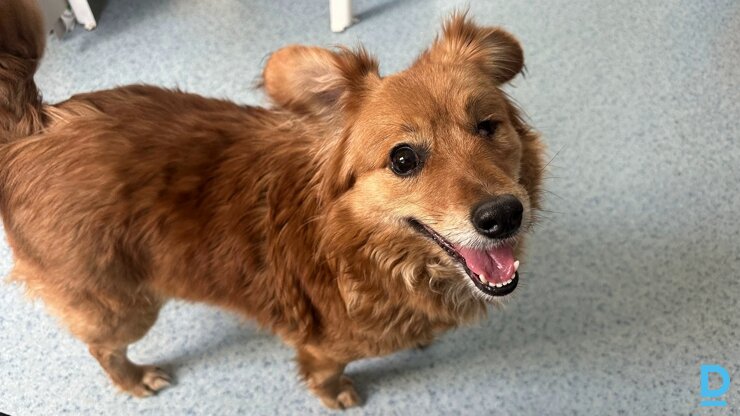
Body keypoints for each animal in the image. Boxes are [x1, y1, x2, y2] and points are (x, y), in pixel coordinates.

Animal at [0, 0, 545, 409]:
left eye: (488, 126)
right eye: (403, 159)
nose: (502, 215)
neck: (359, 250)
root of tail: (34, 125)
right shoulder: (322, 346)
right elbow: (325, 373)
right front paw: (336, 394)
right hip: (124, 305)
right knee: (101, 348)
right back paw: (135, 379)